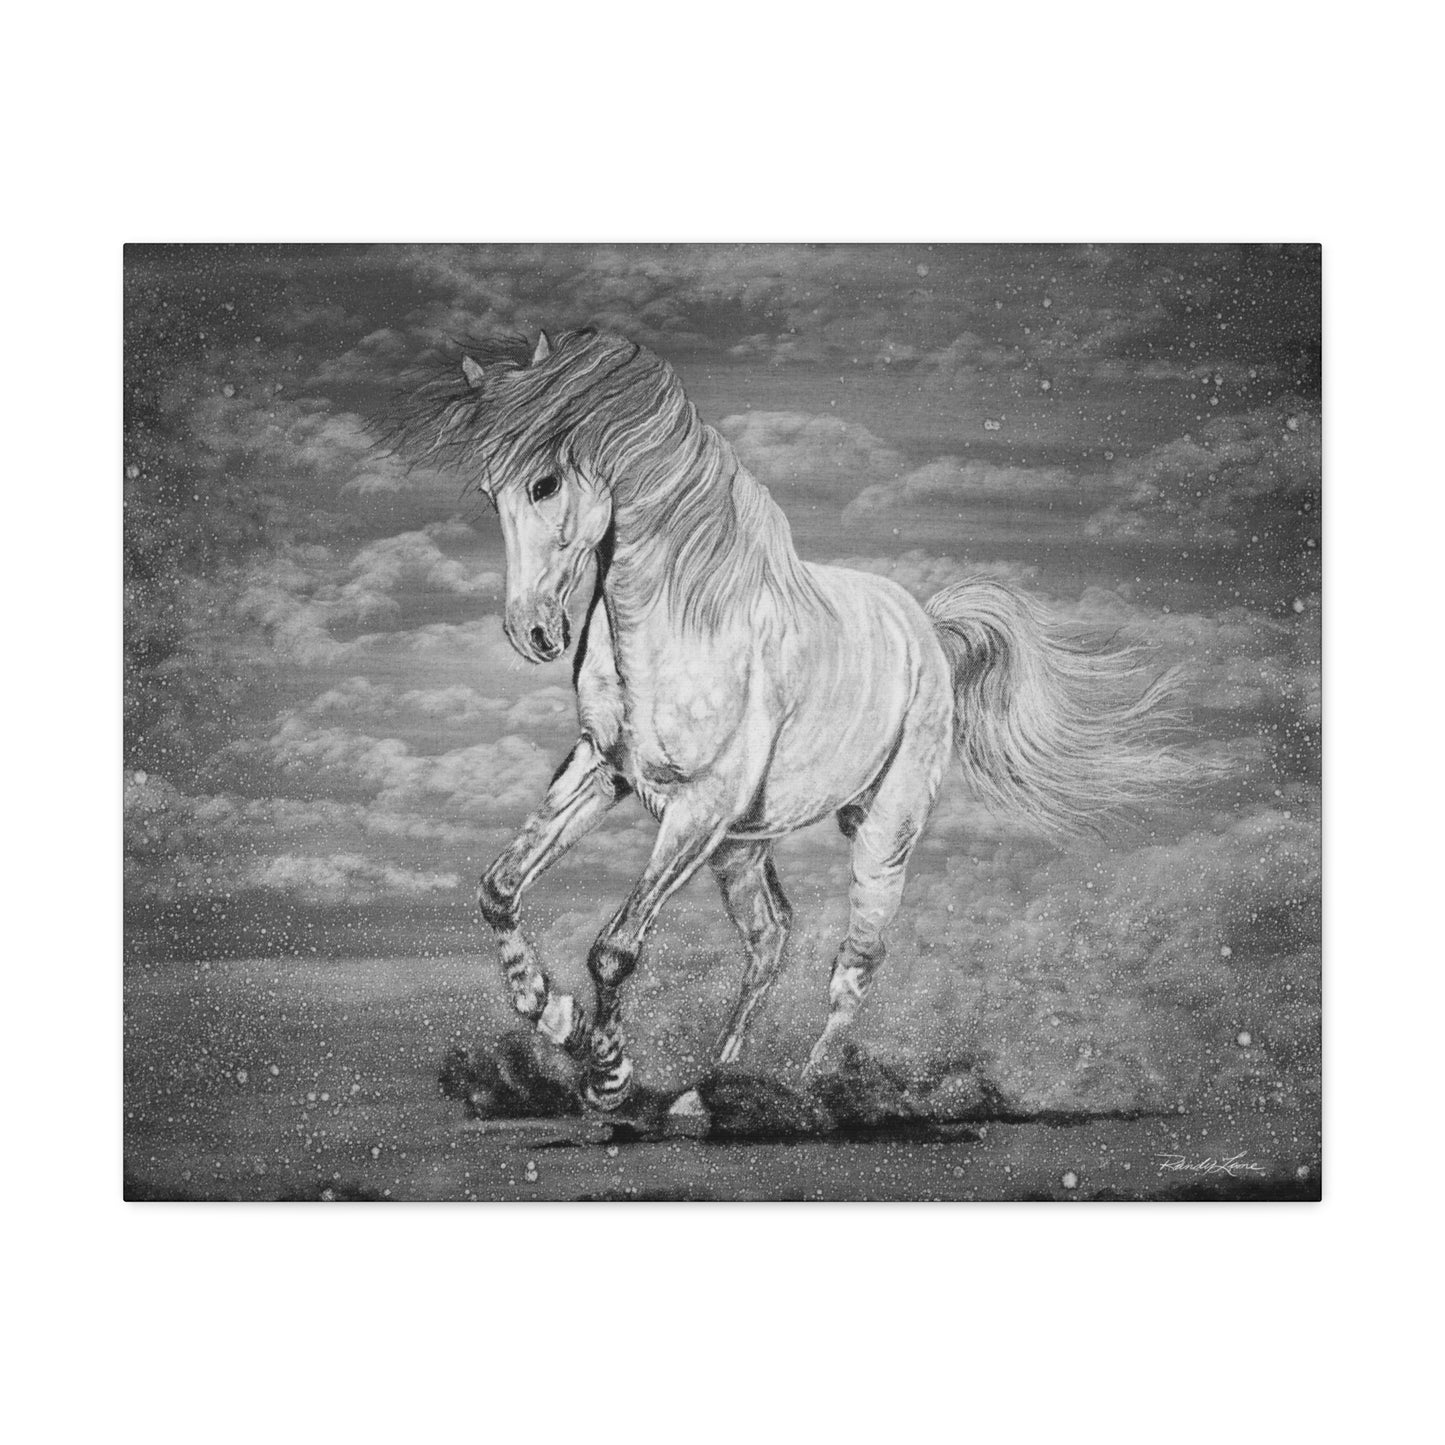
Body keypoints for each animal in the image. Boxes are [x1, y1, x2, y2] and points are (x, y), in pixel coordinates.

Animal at [385, 327, 1193, 1113]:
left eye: (544, 482)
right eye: (489, 492)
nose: (533, 634)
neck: (683, 623)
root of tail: (927, 630)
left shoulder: (700, 807)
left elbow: (615, 949)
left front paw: (606, 1073)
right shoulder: (603, 772)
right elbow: (499, 889)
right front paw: (554, 1017)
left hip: (879, 835)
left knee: (854, 964)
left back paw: (809, 1088)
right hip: (741, 847)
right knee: (770, 938)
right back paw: (705, 1092)